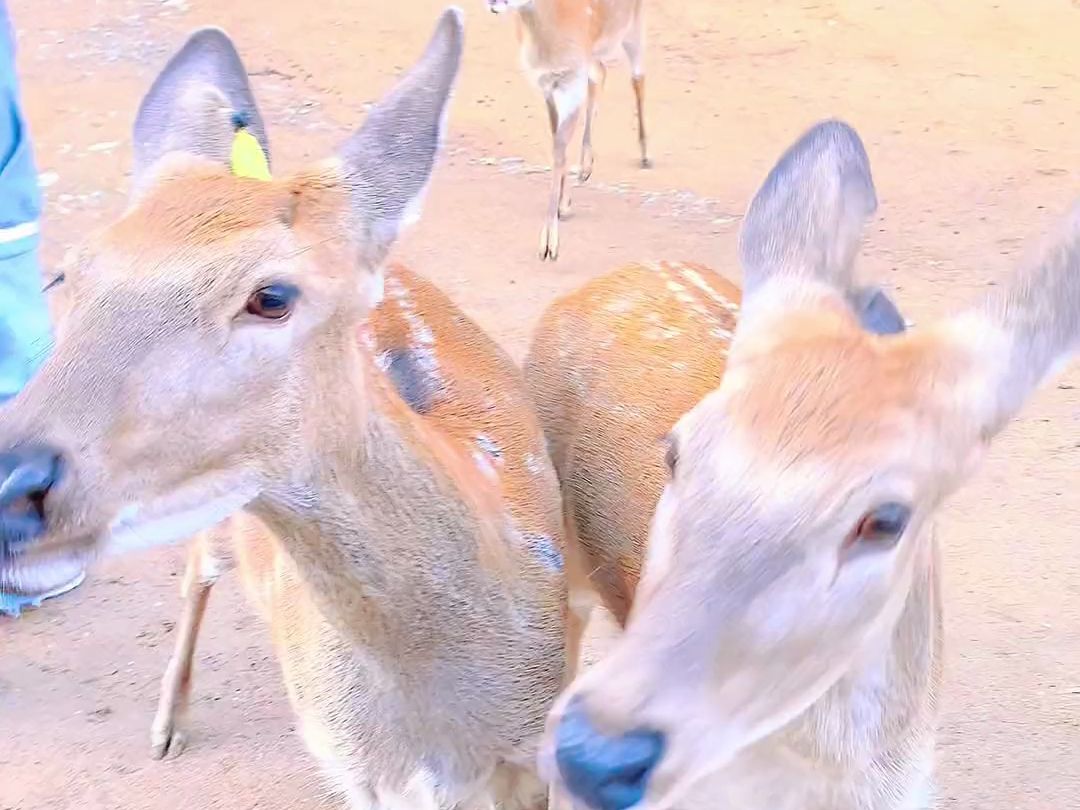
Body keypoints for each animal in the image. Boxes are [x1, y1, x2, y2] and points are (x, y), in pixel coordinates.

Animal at [0, 9, 578, 807]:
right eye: (67, 275)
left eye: (271, 296)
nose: (12, 484)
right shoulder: (357, 773)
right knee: (196, 576)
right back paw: (167, 725)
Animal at [490, 0, 648, 260]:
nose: (493, 3)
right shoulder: (548, 85)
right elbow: (557, 143)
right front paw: (564, 206)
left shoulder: (572, 81)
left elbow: (560, 147)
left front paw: (549, 245)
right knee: (601, 73)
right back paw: (584, 171)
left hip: (633, 27)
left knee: (637, 77)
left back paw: (645, 156)